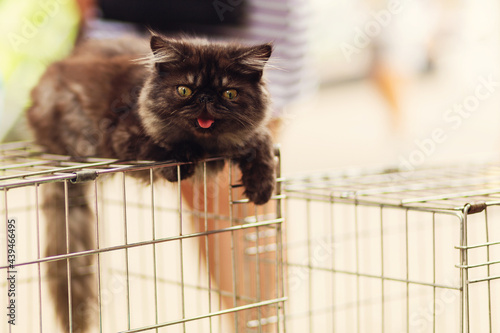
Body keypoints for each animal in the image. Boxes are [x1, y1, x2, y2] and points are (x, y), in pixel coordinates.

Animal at [27, 32, 276, 330]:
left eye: (229, 93)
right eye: (184, 90)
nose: (205, 98)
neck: (208, 146)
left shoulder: (252, 137)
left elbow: (262, 144)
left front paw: (262, 187)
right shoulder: (122, 138)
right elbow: (161, 149)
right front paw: (184, 161)